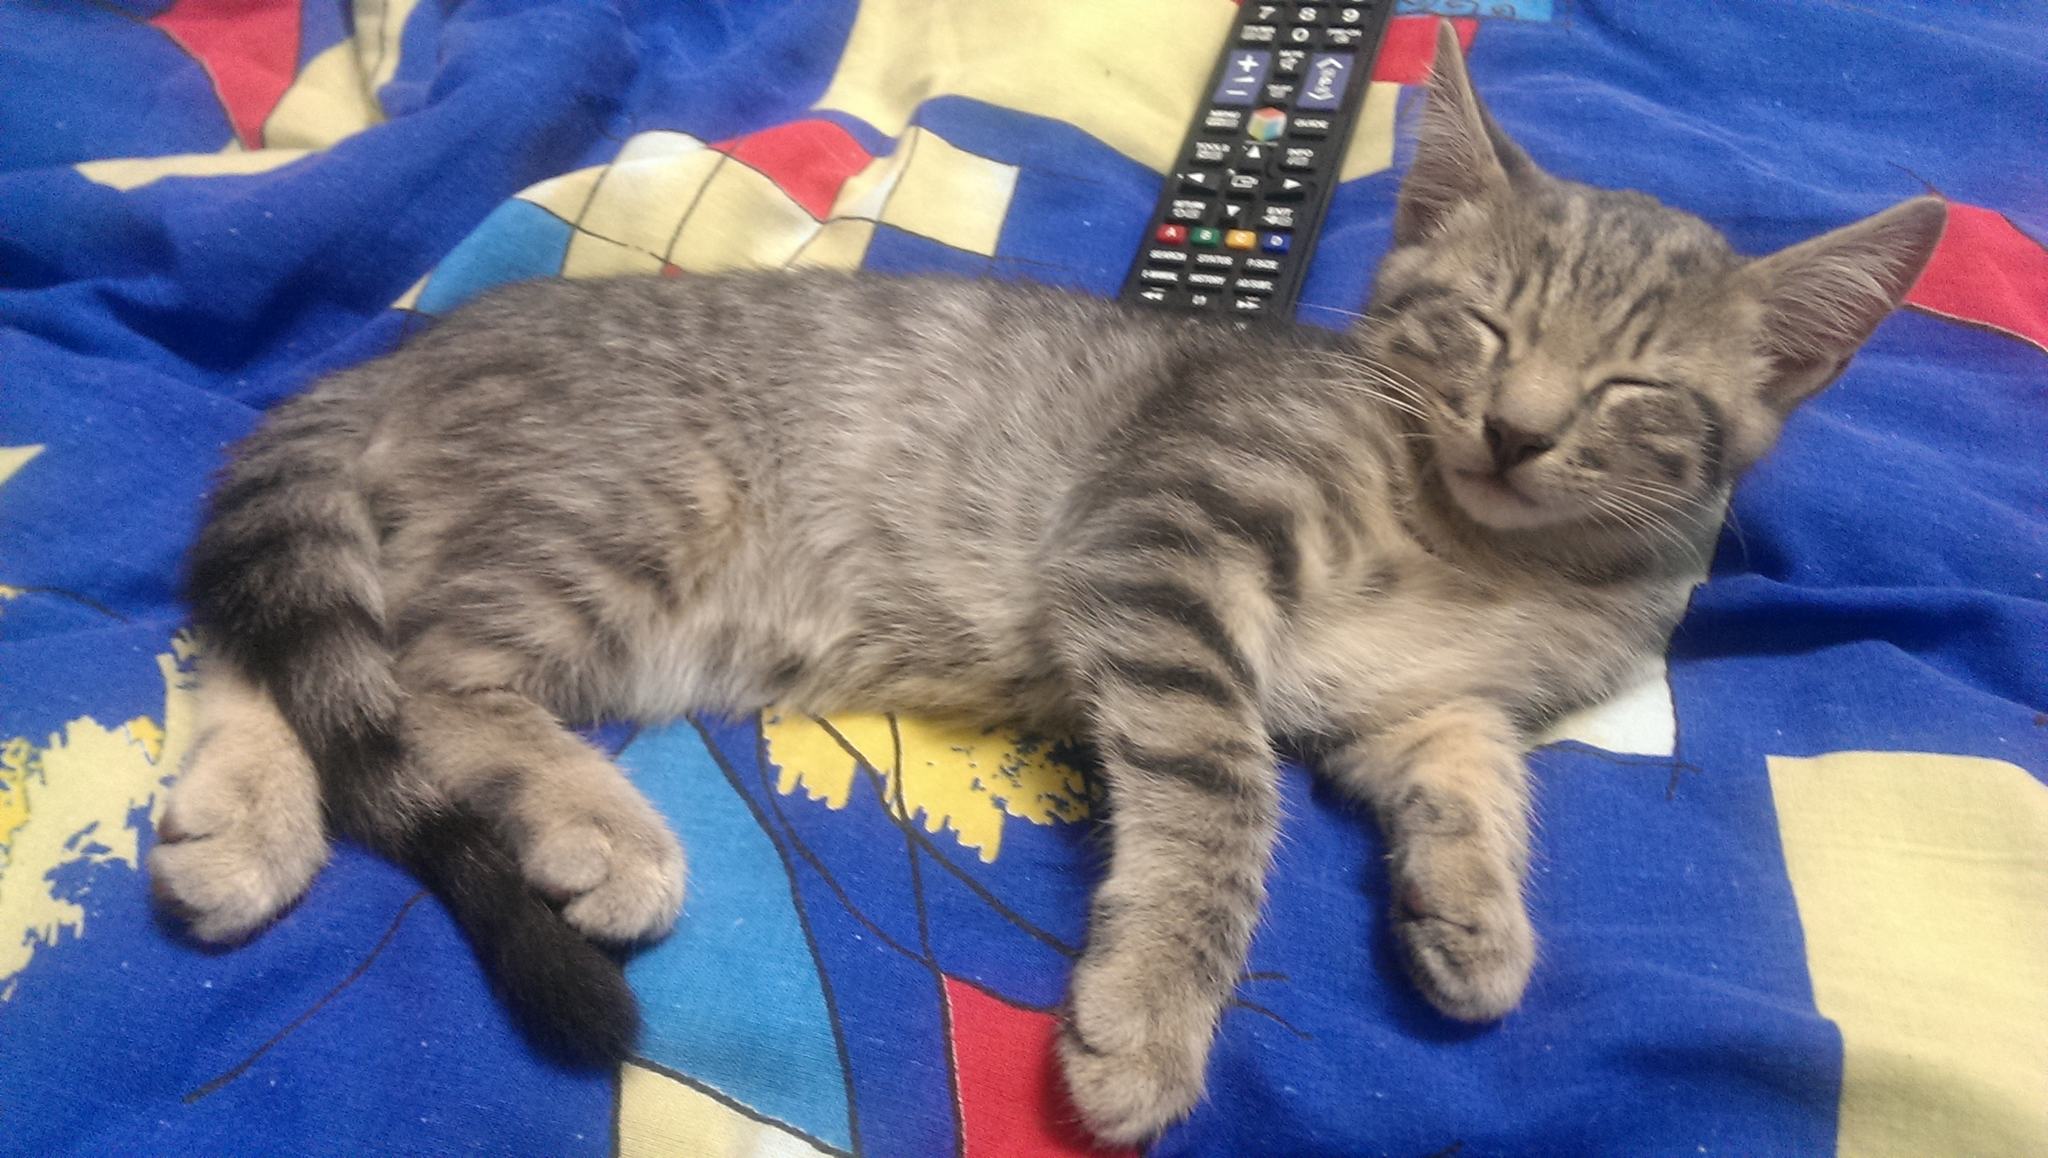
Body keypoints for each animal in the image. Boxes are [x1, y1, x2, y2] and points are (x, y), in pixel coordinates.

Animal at [151, 25, 1943, 1144]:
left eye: (1639, 390)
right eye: (1481, 329)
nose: (1516, 431)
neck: (1472, 548)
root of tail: (405, 353)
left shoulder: (1423, 707)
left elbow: (1476, 775)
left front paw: (1474, 907)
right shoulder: (1164, 540)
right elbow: (1222, 788)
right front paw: (1150, 1013)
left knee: (287, 644)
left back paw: (239, 822)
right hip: (629, 508)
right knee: (417, 669)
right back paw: (595, 822)